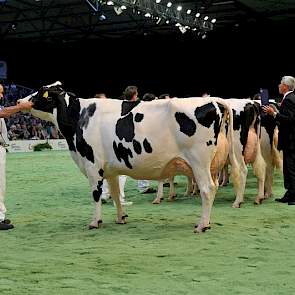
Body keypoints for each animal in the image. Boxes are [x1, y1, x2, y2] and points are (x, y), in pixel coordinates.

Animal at [19, 82, 238, 234]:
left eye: (41, 91)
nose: (19, 101)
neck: (79, 117)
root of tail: (213, 101)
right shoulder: (110, 170)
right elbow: (116, 194)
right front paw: (121, 217)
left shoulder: (92, 165)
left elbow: (96, 195)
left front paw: (95, 222)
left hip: (199, 161)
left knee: (207, 189)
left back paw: (202, 225)